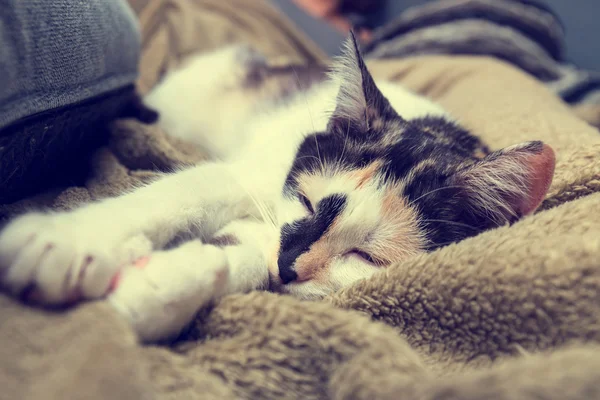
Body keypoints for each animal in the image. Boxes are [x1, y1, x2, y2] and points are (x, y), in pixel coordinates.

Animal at [0, 32, 556, 342]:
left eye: (367, 256)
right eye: (306, 201)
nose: (288, 266)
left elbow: (243, 259)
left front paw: (153, 291)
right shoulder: (252, 179)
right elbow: (188, 193)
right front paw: (70, 241)